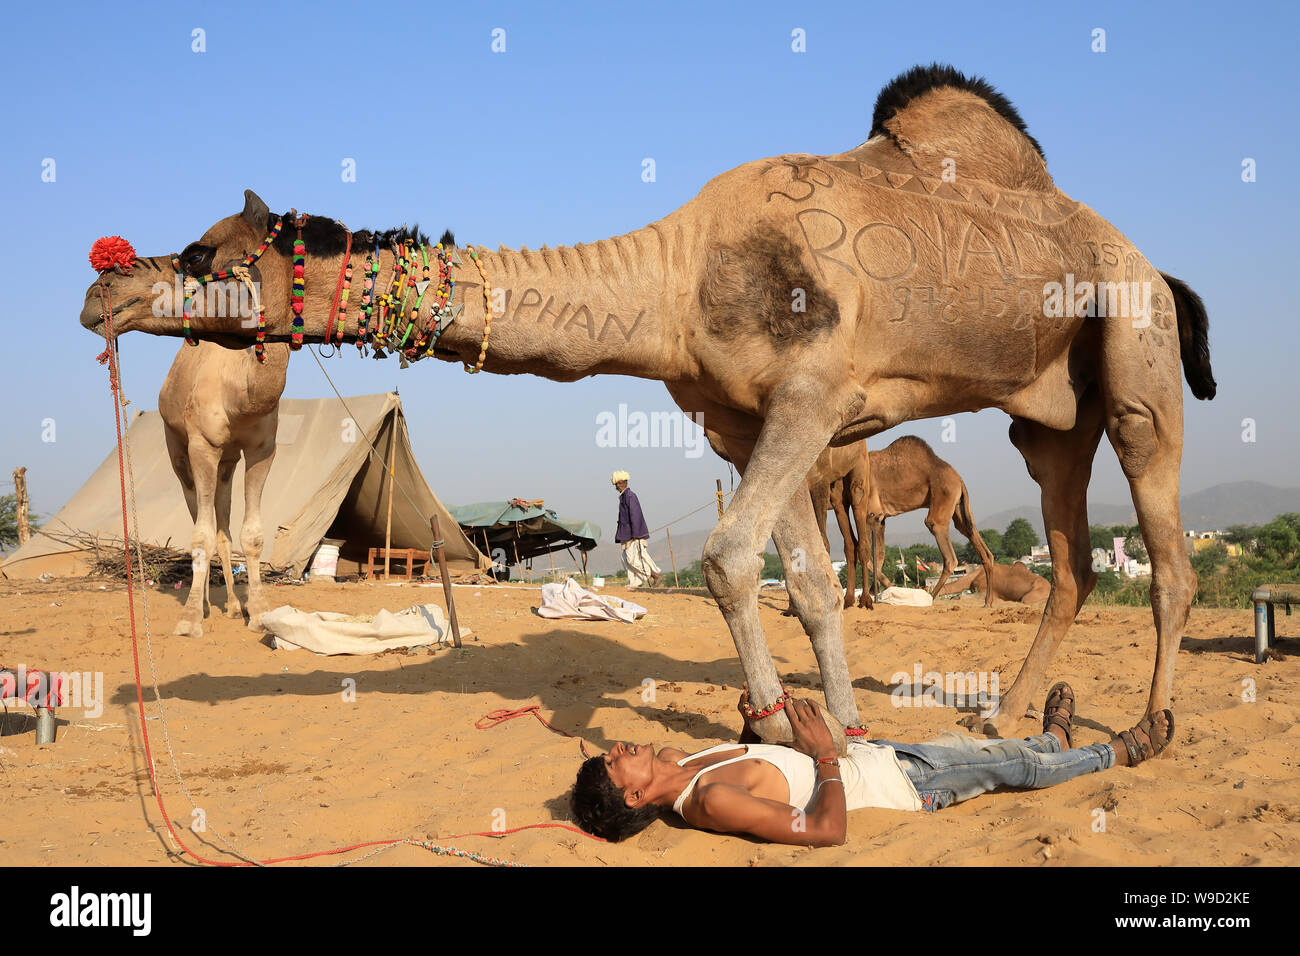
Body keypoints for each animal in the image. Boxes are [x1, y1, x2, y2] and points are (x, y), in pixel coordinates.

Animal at [157, 340, 287, 639]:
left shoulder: (263, 448)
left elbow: (252, 535)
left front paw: (259, 614)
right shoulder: (202, 445)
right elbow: (200, 537)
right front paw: (189, 620)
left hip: (227, 463)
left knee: (222, 528)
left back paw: (234, 606)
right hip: (177, 451)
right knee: (196, 510)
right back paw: (204, 606)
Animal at [863, 434, 993, 606]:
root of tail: (959, 480)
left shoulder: (873, 514)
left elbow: (867, 554)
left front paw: (884, 589)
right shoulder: (881, 518)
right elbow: (879, 555)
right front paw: (876, 591)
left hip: (943, 499)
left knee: (948, 553)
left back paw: (930, 596)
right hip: (959, 507)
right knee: (971, 535)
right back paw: (988, 601)